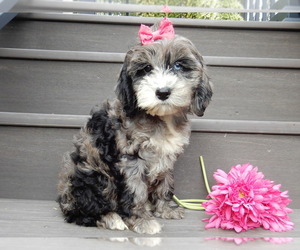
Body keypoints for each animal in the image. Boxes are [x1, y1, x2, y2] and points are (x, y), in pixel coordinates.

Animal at [57, 18, 212, 234]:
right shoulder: (130, 160)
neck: (160, 118)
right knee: (84, 213)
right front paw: (142, 220)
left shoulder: (167, 157)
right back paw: (111, 218)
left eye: (178, 66)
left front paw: (164, 210)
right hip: (96, 178)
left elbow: (165, 183)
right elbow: (136, 191)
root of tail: (64, 202)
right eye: (146, 69)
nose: (162, 92)